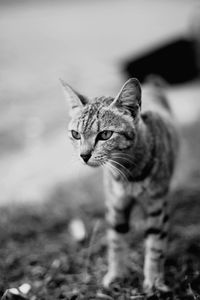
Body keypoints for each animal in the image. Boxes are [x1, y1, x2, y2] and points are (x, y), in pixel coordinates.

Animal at [60, 77, 179, 292]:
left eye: (105, 135)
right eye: (75, 134)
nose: (83, 155)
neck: (129, 175)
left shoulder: (156, 205)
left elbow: (155, 244)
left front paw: (154, 280)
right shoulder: (116, 205)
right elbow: (116, 242)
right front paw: (116, 274)